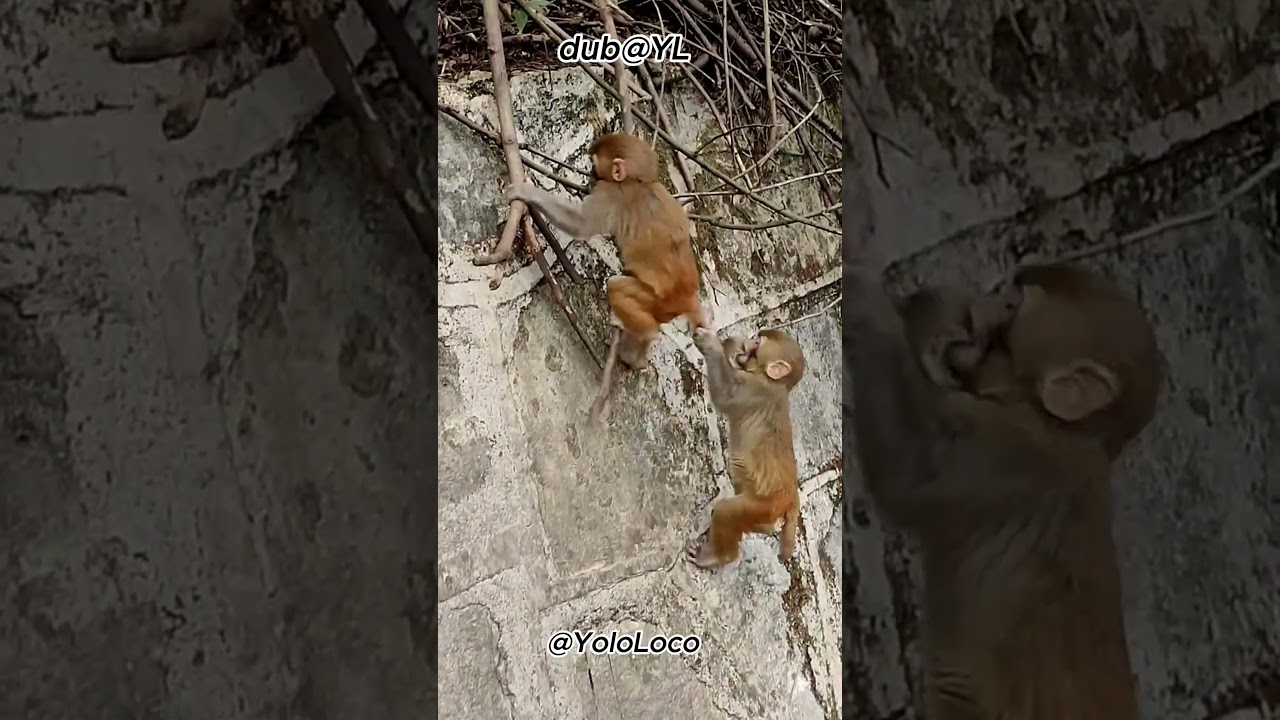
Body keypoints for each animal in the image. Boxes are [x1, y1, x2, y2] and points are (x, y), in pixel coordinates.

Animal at [508, 133, 706, 419]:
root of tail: (688, 296)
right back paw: (637, 355)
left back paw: (639, 341)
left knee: (616, 288)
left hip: (656, 299)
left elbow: (581, 225)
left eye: (594, 163)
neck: (639, 182)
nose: (590, 176)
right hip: (665, 308)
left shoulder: (610, 194)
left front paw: (528, 192)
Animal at [685, 326, 806, 569]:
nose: (747, 341)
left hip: (762, 506)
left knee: (727, 512)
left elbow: (726, 394)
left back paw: (717, 556)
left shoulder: (755, 391)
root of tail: (791, 496)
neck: (773, 382)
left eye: (757, 342)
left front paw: (710, 344)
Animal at [845, 257, 1162, 720]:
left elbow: (911, 468)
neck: (1070, 431)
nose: (987, 298)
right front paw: (932, 306)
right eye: (1004, 290)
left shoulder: (1011, 454)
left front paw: (861, 299)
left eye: (1012, 304)